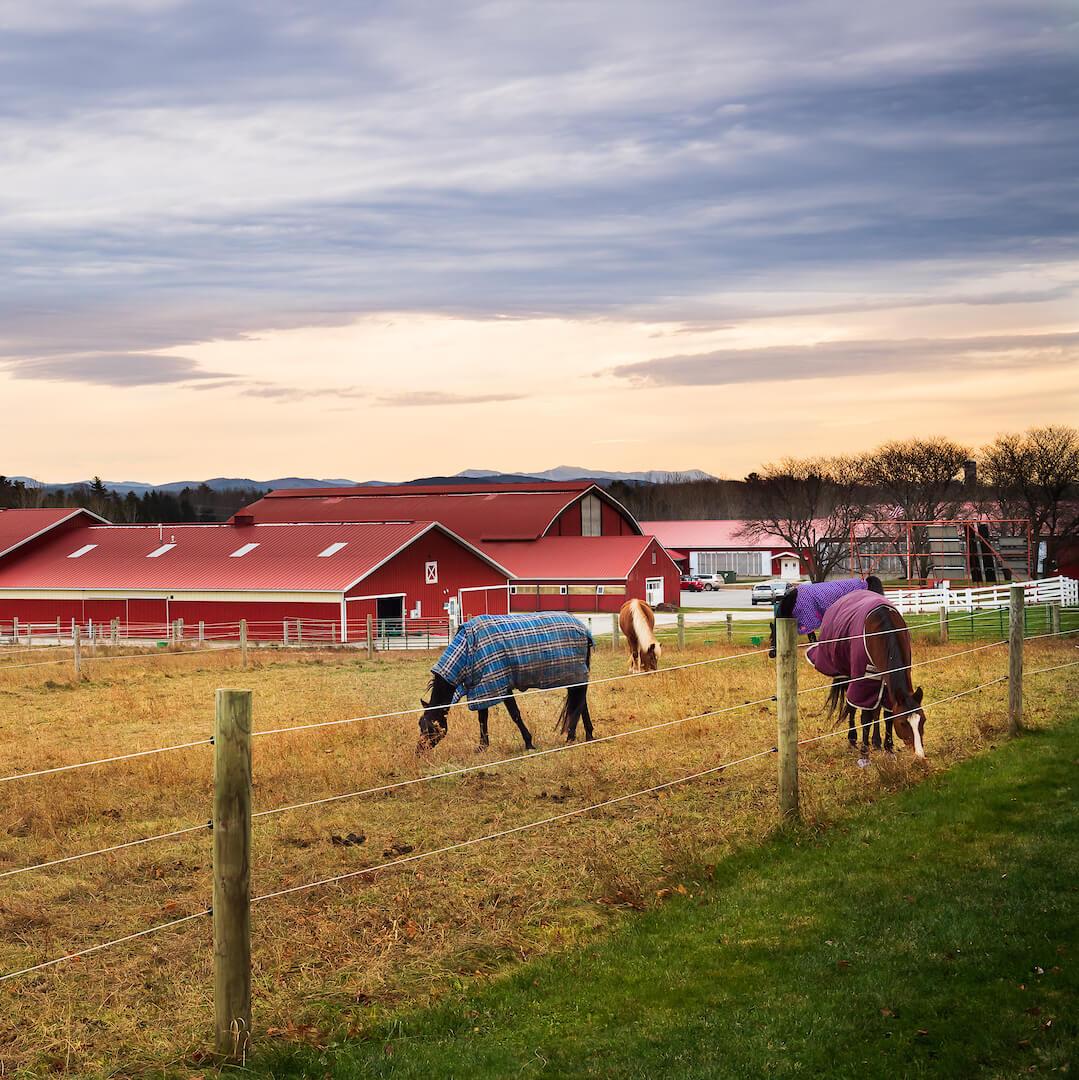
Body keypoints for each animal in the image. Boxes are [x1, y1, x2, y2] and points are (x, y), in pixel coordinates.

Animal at [416, 617, 596, 751]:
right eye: (420, 724)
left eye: (431, 728)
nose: (419, 751)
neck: (467, 650)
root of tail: (585, 631)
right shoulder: (481, 687)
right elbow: (482, 717)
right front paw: (482, 746)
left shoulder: (501, 686)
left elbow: (515, 714)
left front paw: (529, 743)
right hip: (574, 678)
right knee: (581, 702)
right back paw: (588, 735)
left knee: (579, 703)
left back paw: (571, 737)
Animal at [812, 591, 928, 760]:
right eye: (902, 723)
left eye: (923, 720)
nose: (919, 754)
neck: (883, 630)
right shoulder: (864, 680)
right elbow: (865, 716)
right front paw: (864, 751)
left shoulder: (888, 683)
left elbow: (886, 714)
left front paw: (888, 748)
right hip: (848, 676)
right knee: (851, 707)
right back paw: (853, 739)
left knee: (875, 710)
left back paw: (876, 742)